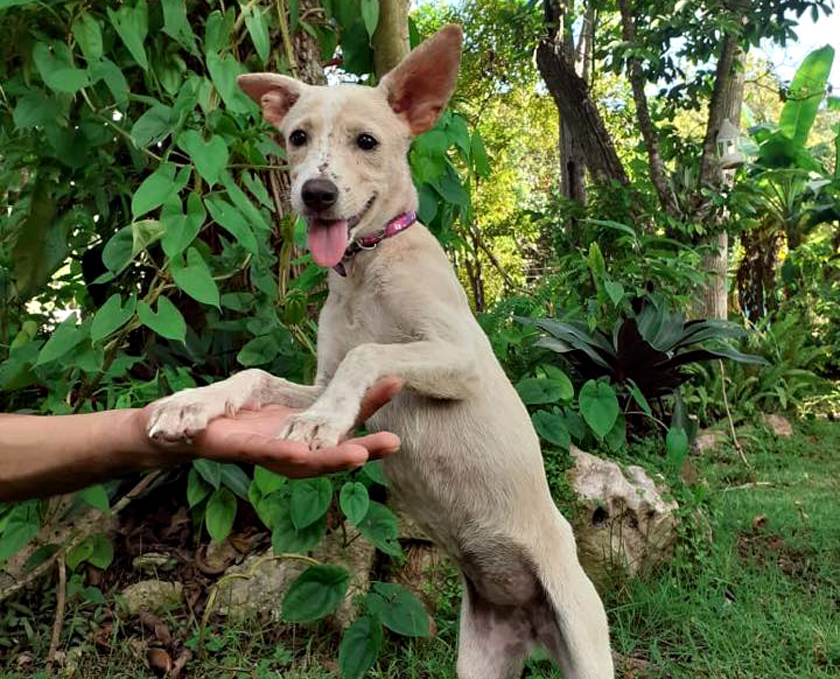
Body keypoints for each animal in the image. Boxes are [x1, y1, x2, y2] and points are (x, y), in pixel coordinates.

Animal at [148, 23, 612, 679]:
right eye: (297, 137)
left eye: (367, 141)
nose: (316, 193)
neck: (368, 268)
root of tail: (532, 624)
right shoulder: (319, 375)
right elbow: (257, 374)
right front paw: (192, 403)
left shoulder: (461, 358)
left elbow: (368, 355)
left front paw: (320, 422)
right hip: (480, 657)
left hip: (584, 635)